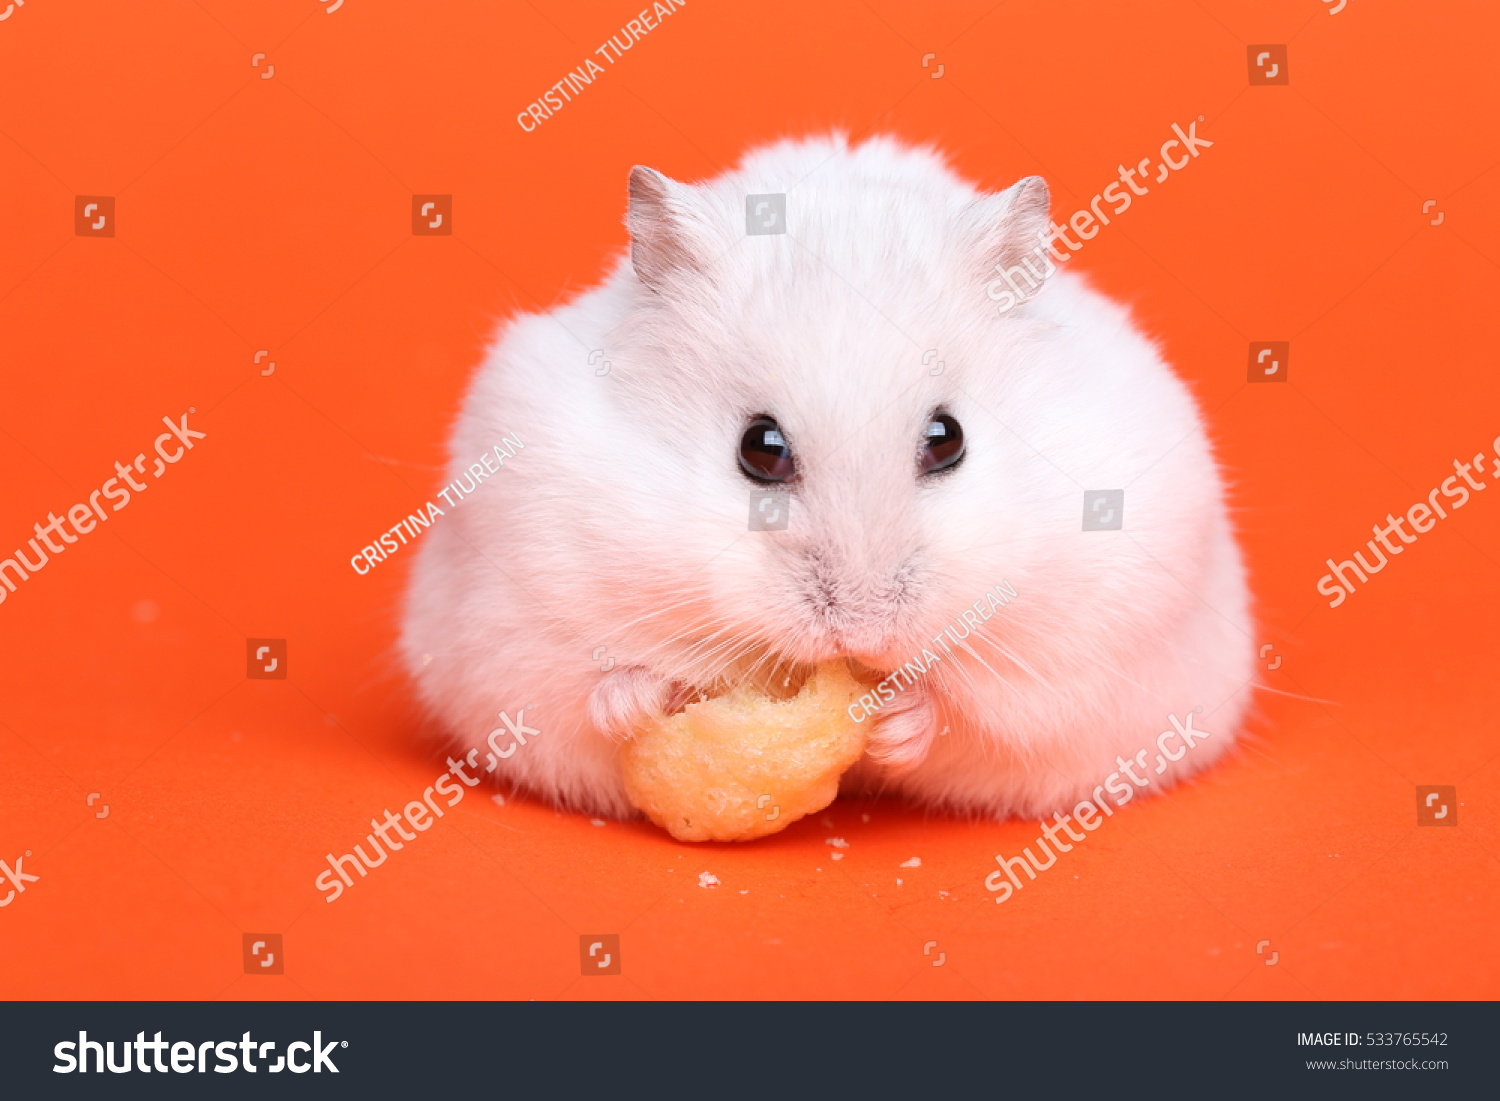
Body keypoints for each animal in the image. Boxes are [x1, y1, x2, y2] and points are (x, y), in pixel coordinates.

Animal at [399, 133, 1254, 822]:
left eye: (947, 440)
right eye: (760, 448)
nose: (862, 632)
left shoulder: (1087, 645)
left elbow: (984, 716)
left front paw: (901, 719)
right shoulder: (516, 605)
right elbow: (581, 686)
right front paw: (646, 694)